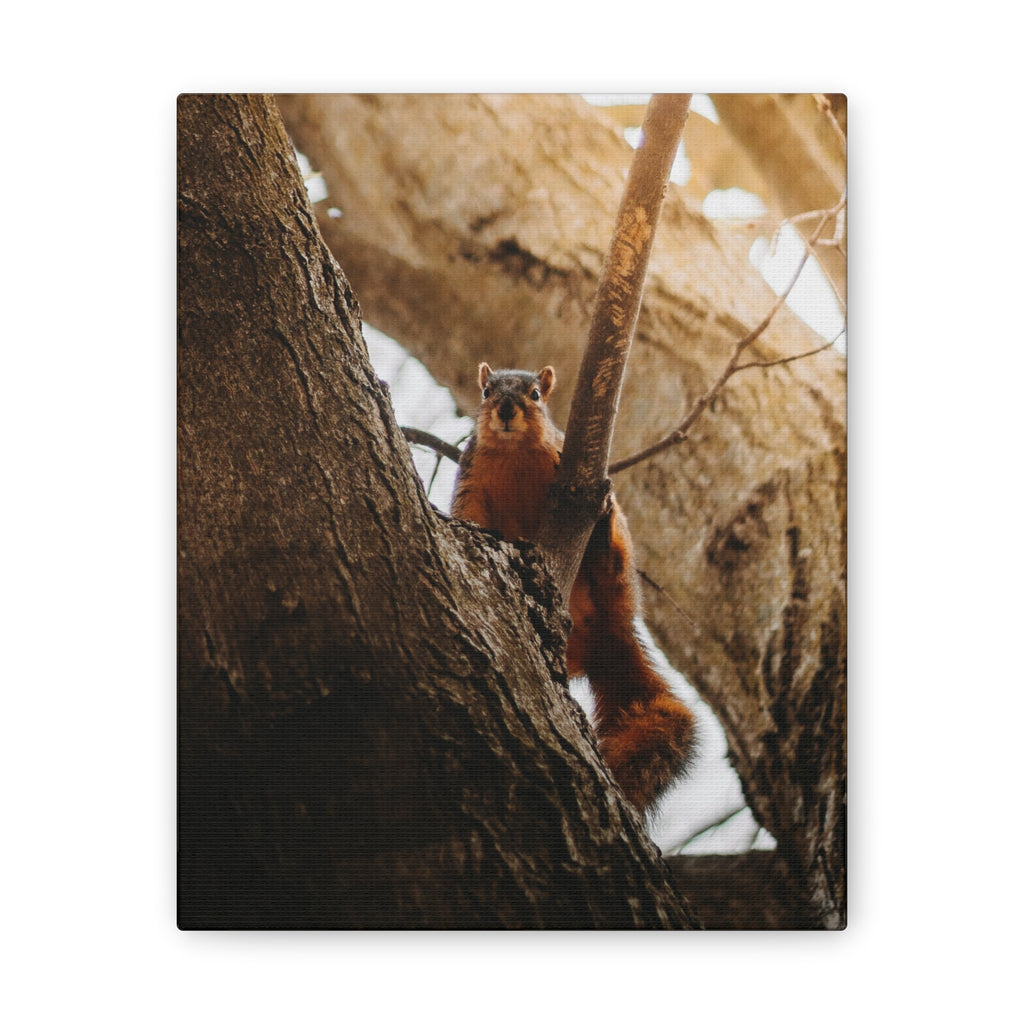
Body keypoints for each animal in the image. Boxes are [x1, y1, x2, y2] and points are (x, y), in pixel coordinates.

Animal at [452, 362, 696, 815]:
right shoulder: (471, 481)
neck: (514, 454)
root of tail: (608, 634)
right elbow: (471, 516)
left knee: (611, 567)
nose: (506, 409)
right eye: (486, 392)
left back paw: (603, 535)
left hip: (618, 583)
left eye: (535, 394)